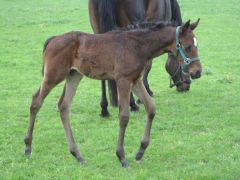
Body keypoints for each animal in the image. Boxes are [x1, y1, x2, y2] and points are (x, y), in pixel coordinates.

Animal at [24, 19, 202, 167]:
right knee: (36, 101)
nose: (198, 72)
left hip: (74, 75)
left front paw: (140, 152)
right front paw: (121, 156)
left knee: (63, 106)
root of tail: (53, 39)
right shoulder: (123, 80)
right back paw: (27, 147)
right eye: (188, 47)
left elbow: (151, 108)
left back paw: (77, 155)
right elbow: (124, 116)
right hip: (53, 75)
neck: (138, 46)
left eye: (196, 45)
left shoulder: (135, 80)